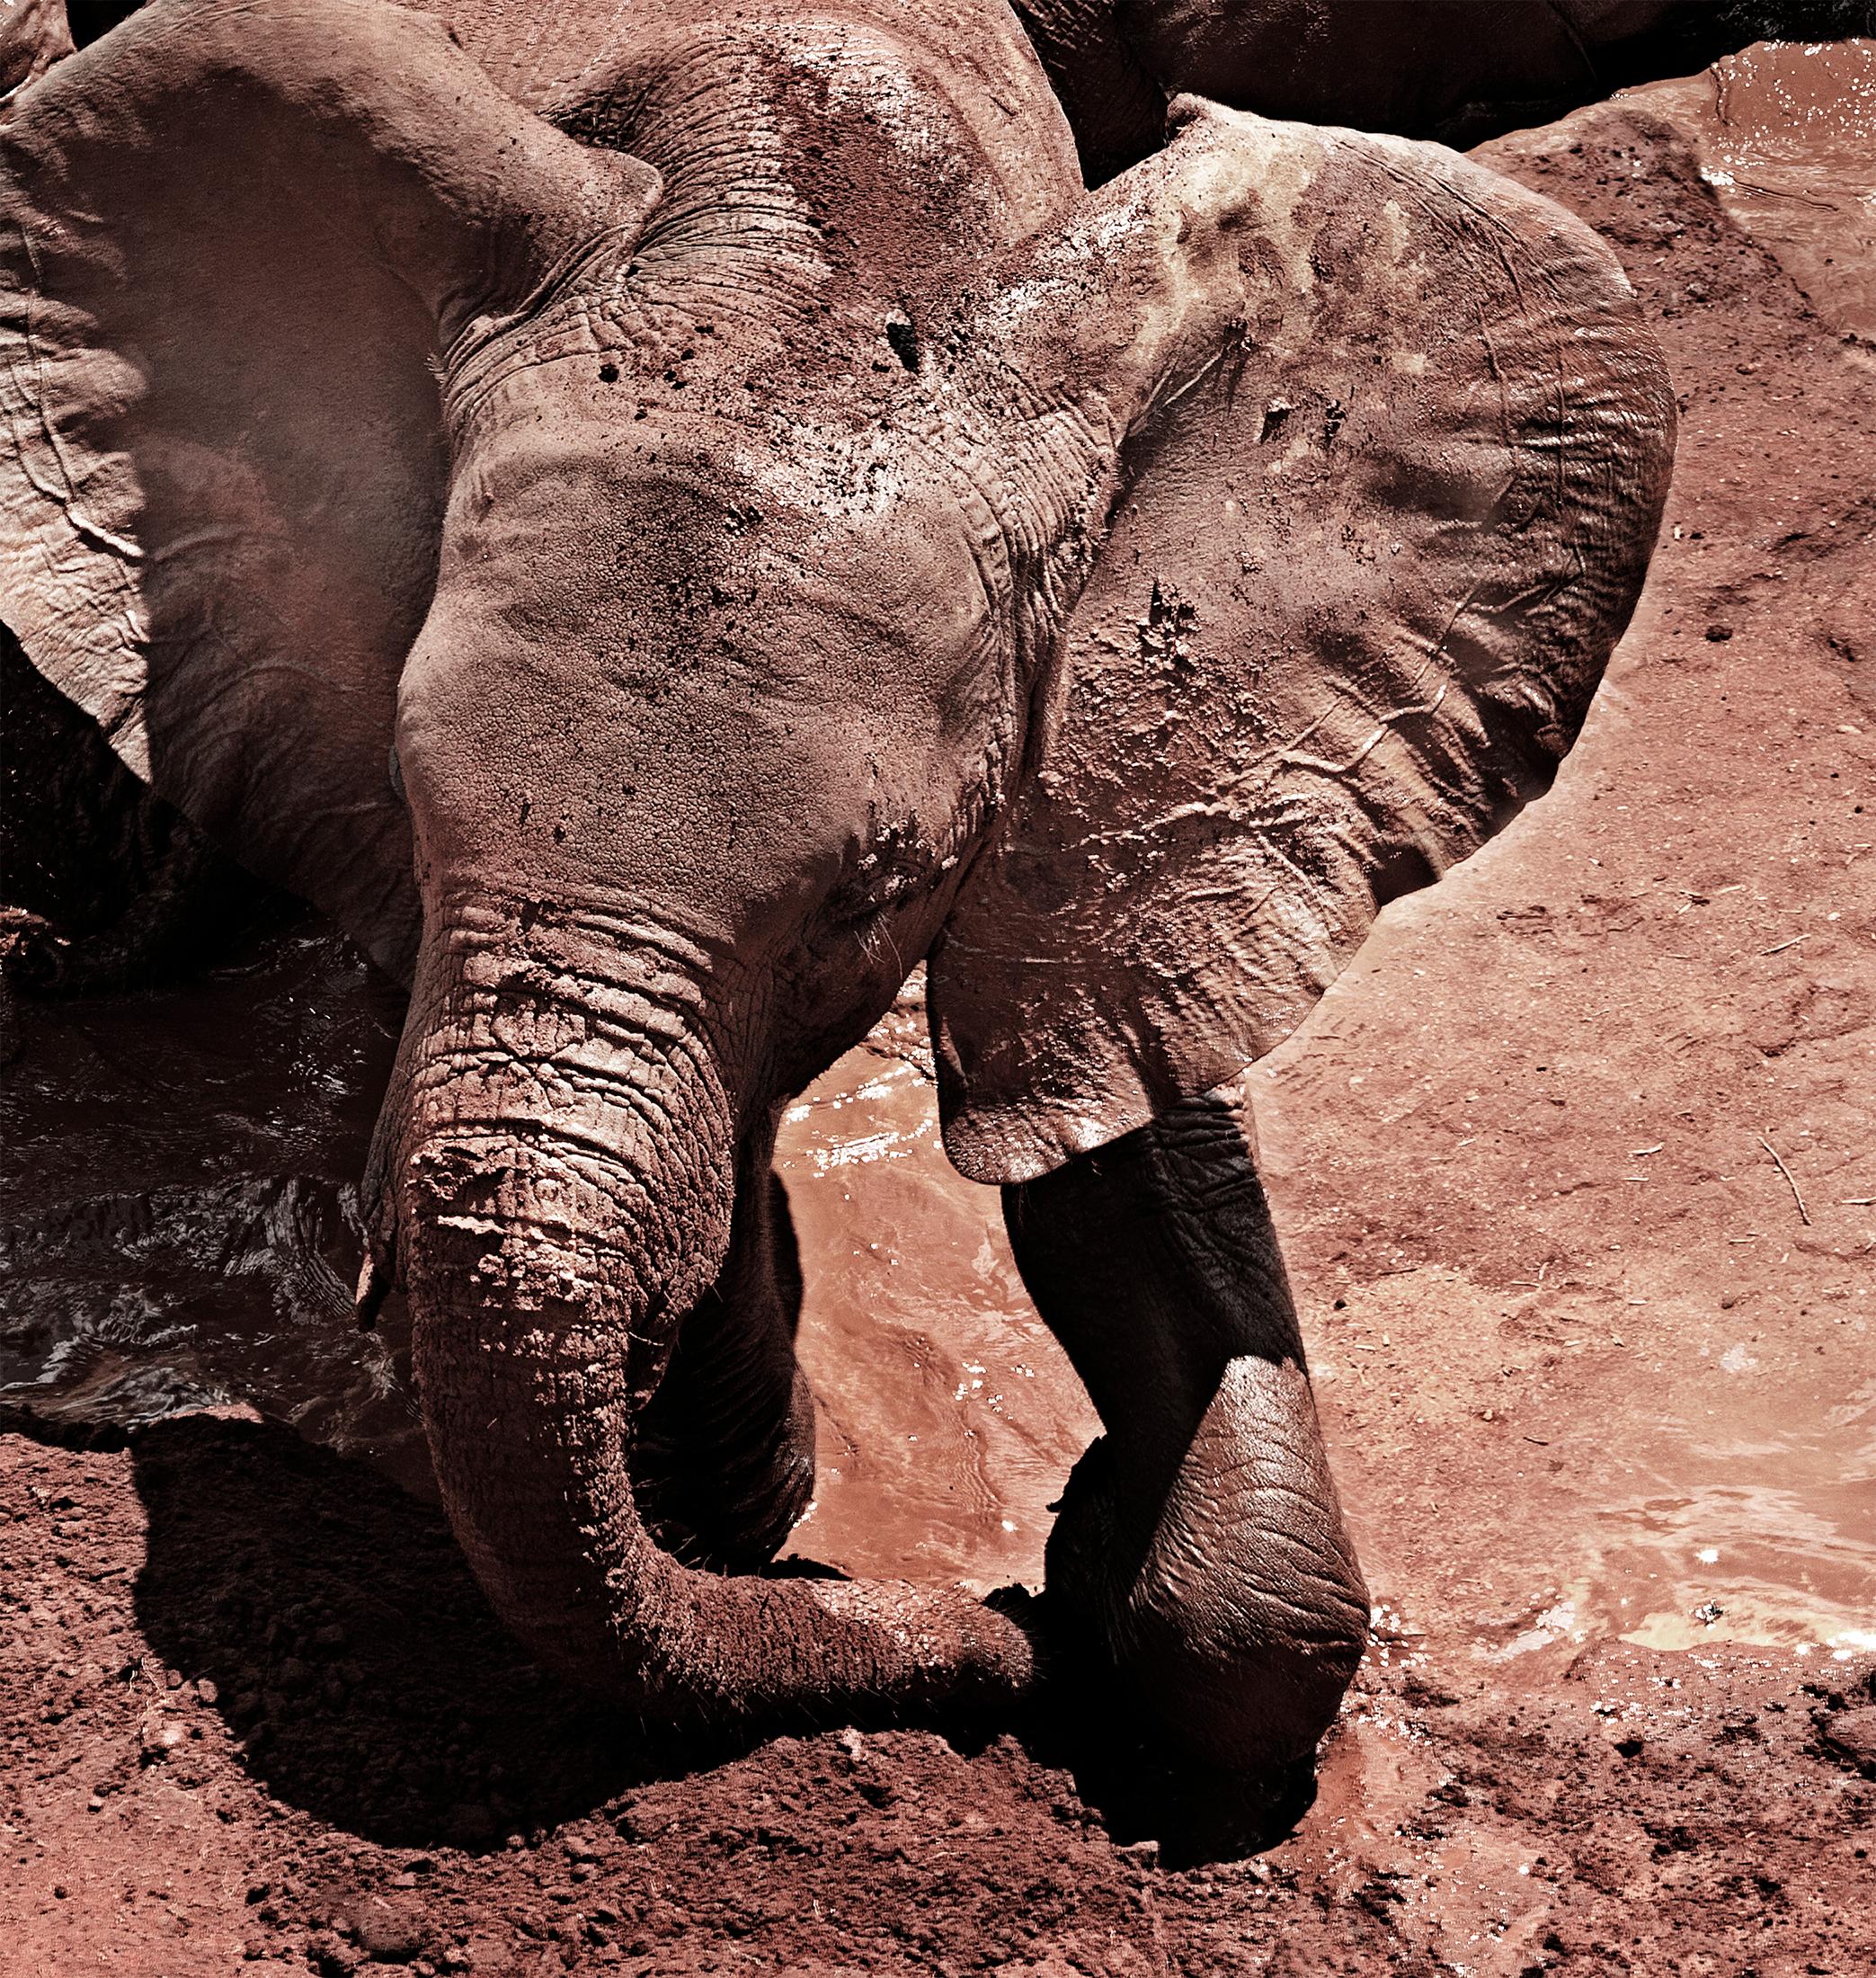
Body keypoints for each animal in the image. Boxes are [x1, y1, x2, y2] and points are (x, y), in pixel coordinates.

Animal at [0, 0, 1668, 1764]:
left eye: (873, 897)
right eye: (408, 802)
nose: (1002, 1647)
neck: (806, 197)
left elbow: (1113, 1119)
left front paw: (1105, 1558)